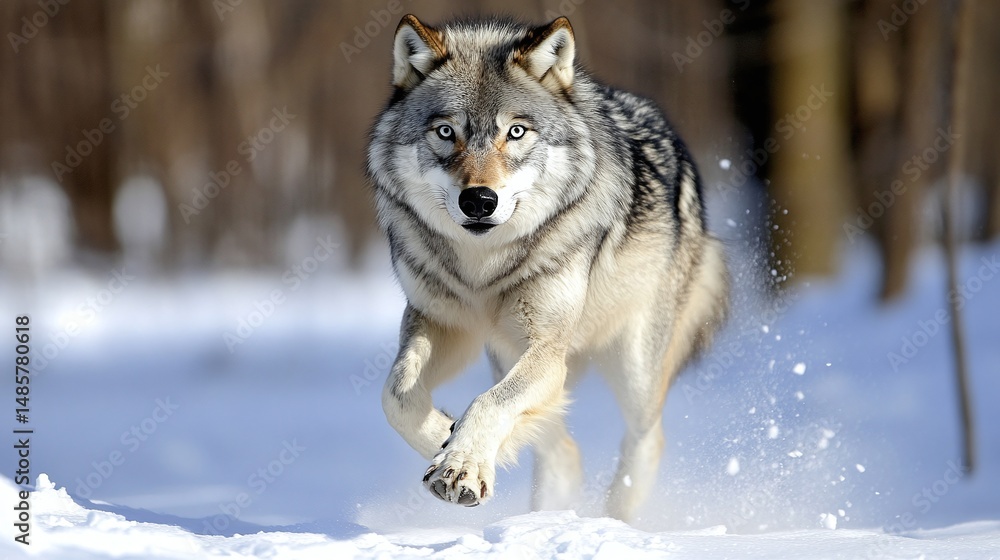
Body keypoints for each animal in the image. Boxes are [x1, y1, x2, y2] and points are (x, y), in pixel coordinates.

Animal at [366, 14, 729, 522]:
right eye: (446, 132)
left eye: (516, 132)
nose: (479, 200)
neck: (482, 267)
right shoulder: (442, 324)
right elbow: (396, 394)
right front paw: (446, 437)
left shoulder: (547, 347)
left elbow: (489, 403)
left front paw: (461, 465)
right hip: (504, 352)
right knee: (561, 447)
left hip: (634, 366)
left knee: (647, 437)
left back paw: (615, 518)